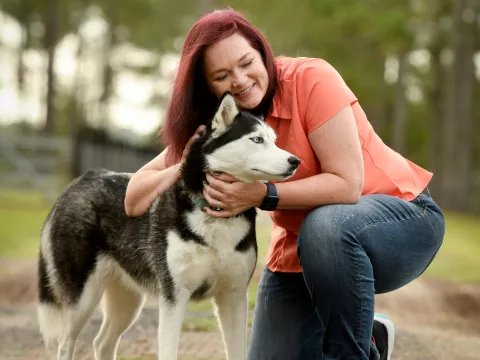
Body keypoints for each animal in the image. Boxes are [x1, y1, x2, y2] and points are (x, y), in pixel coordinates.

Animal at [37, 93, 300, 360]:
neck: (214, 215)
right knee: (65, 343)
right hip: (83, 298)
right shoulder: (174, 297)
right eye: (256, 139)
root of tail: (82, 179)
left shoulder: (233, 296)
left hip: (127, 300)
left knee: (102, 342)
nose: (295, 161)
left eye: (274, 141)